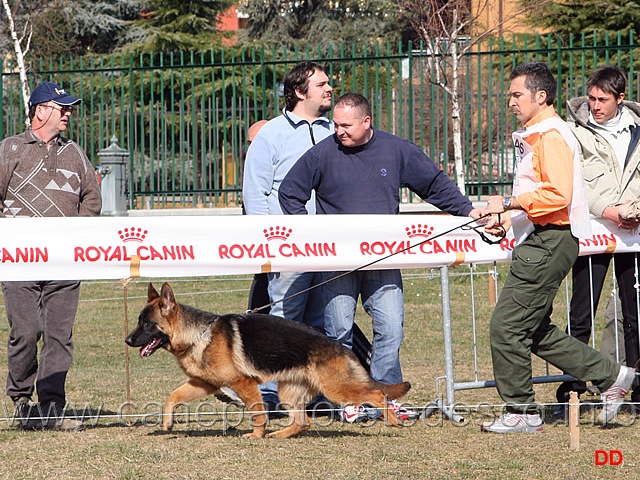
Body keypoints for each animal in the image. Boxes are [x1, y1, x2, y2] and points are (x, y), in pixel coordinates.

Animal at [125, 284, 412, 438]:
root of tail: (339, 346)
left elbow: (257, 412)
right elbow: (173, 396)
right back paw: (280, 434)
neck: (197, 334)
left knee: (376, 393)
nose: (127, 340)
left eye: (147, 324)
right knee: (303, 422)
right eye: (140, 321)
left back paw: (393, 419)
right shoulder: (204, 384)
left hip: (337, 388)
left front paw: (256, 434)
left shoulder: (244, 383)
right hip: (289, 393)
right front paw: (167, 423)